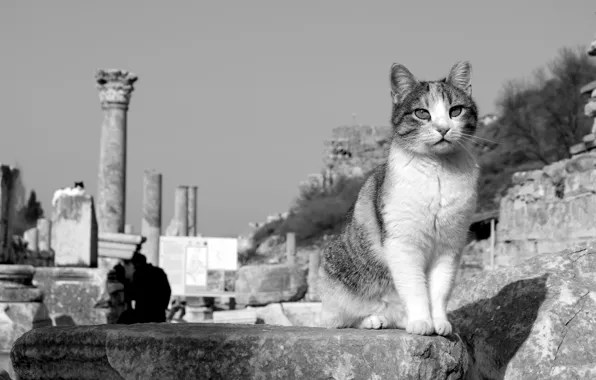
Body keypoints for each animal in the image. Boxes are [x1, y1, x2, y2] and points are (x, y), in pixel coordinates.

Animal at [316, 61, 480, 336]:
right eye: (422, 113)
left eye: (455, 110)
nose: (443, 128)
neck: (438, 171)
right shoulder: (403, 243)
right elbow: (415, 288)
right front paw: (422, 322)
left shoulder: (450, 245)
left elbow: (440, 290)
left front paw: (440, 323)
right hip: (336, 280)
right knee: (338, 319)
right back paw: (374, 320)